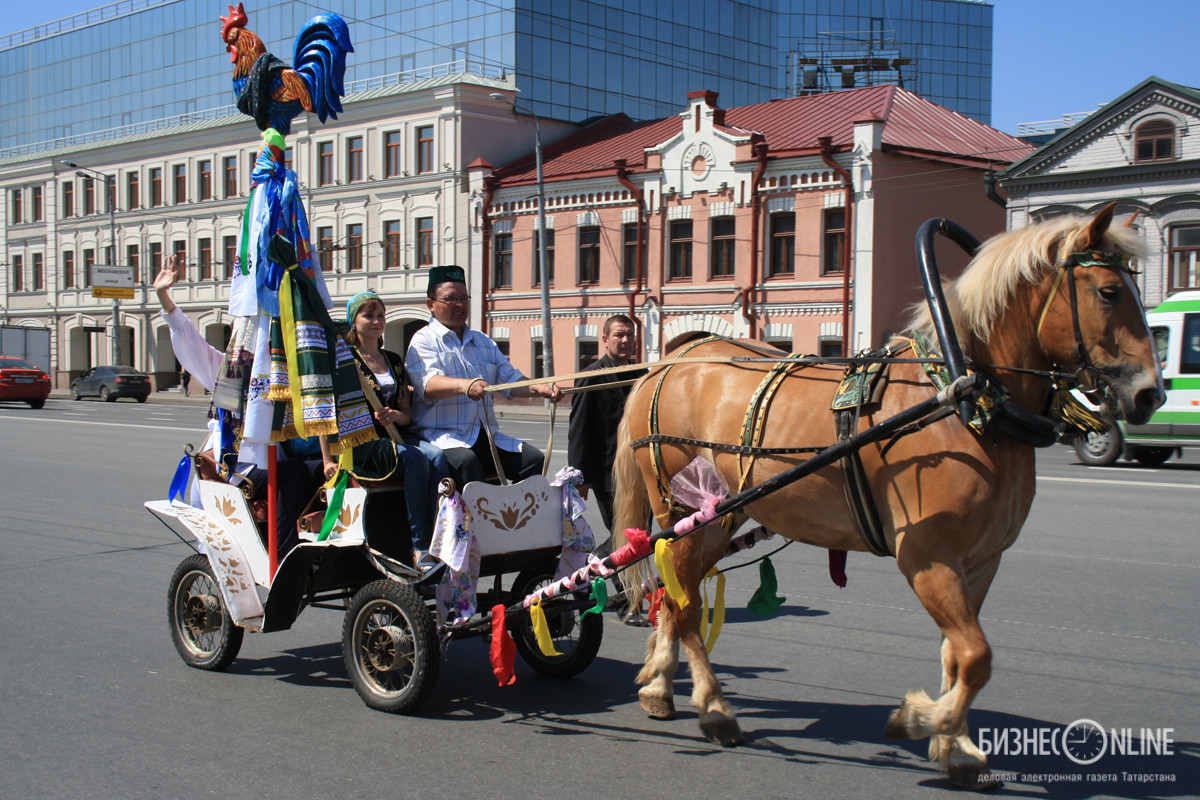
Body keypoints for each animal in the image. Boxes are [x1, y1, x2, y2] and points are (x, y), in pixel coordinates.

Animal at [609, 203, 1161, 791]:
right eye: (1109, 291)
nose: (1150, 393)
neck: (960, 400)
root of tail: (669, 362)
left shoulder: (981, 562)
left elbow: (958, 657)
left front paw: (957, 748)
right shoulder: (926, 557)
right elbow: (976, 655)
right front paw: (920, 719)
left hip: (715, 518)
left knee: (675, 594)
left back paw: (660, 685)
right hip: (687, 513)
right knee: (685, 606)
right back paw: (714, 708)